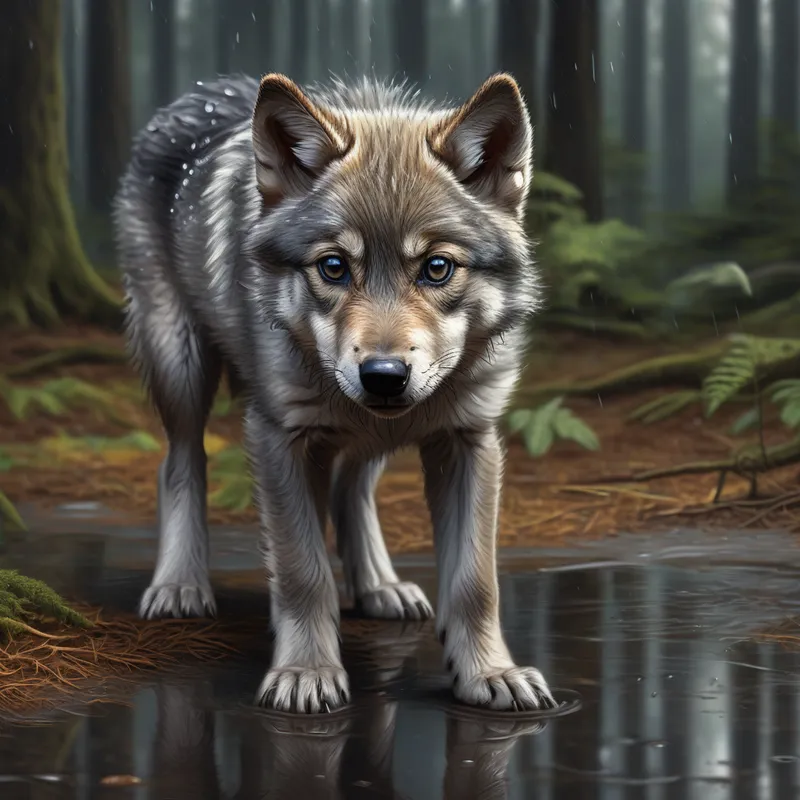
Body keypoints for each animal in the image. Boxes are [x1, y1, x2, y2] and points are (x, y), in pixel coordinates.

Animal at [114, 70, 556, 714]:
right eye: (333, 266)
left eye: (438, 268)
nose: (383, 374)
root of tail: (202, 89)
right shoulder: (279, 435)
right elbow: (302, 569)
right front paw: (305, 672)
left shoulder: (469, 439)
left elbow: (476, 581)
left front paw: (490, 674)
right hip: (181, 365)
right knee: (179, 462)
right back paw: (179, 584)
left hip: (372, 434)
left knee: (353, 486)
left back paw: (380, 586)